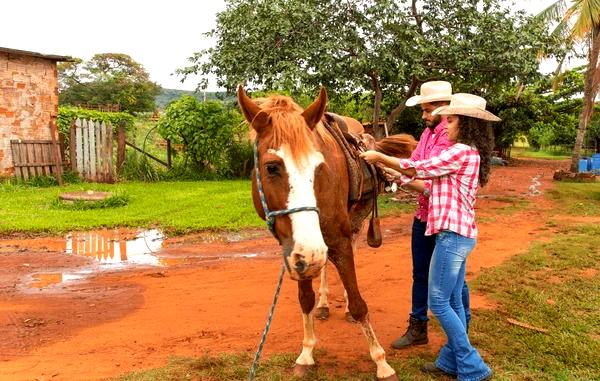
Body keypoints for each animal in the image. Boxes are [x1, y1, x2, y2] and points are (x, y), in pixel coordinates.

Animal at [238, 86, 398, 380]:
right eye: (271, 167)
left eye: (318, 166)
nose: (311, 254)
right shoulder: (295, 252)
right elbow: (305, 299)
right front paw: (307, 353)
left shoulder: (337, 238)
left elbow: (359, 303)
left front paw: (381, 362)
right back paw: (324, 304)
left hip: (355, 220)